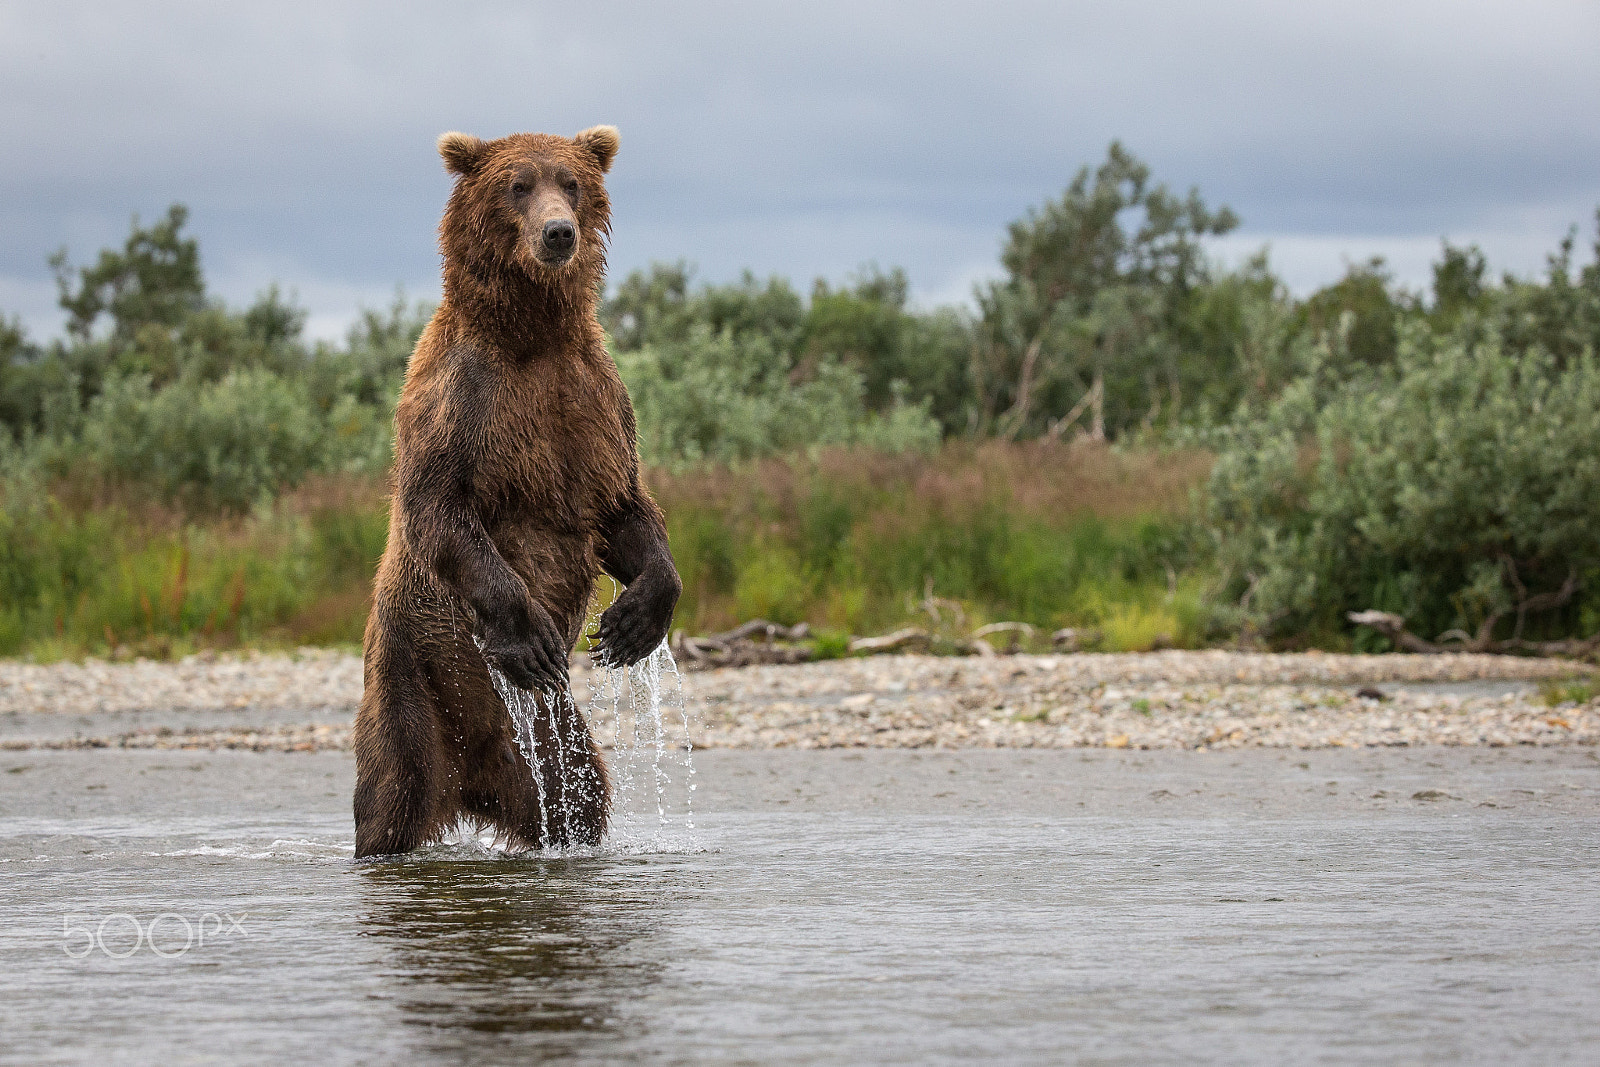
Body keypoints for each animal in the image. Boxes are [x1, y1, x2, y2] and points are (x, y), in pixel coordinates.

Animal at [353, 125, 678, 857]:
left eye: (572, 182)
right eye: (517, 185)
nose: (558, 233)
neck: (531, 332)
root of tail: (471, 781)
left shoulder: (595, 400)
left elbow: (623, 506)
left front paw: (633, 620)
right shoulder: (460, 396)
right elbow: (440, 508)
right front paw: (526, 634)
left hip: (554, 735)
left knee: (579, 794)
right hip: (410, 677)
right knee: (388, 793)